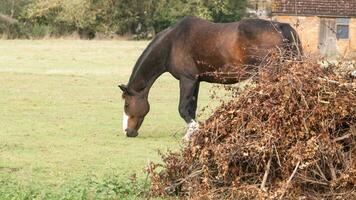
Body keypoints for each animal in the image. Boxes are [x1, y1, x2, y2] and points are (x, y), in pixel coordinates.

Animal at [118, 16, 302, 138]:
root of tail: (282, 27)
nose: (128, 132)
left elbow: (183, 109)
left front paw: (193, 132)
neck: (171, 43)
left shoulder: (187, 80)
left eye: (127, 105)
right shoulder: (196, 81)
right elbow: (191, 108)